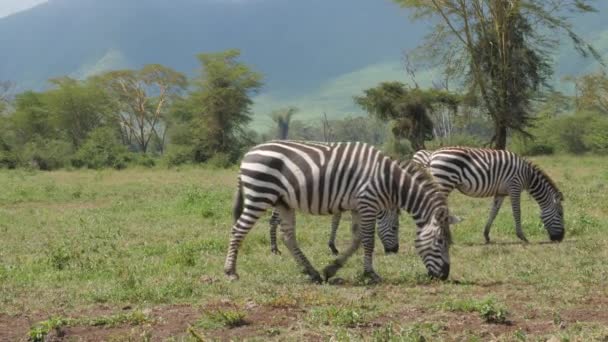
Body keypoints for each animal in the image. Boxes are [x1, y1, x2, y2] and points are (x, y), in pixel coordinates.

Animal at [420, 147, 564, 243]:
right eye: (560, 214)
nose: (560, 238)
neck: (527, 176)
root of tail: (432, 156)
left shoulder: (501, 193)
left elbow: (494, 213)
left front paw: (486, 236)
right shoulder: (514, 187)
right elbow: (517, 212)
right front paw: (522, 236)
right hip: (444, 182)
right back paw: (445, 239)